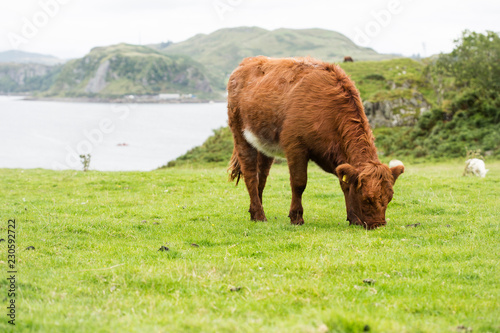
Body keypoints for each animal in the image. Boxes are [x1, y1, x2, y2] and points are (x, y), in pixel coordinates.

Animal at [226, 56, 402, 228]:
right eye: (367, 198)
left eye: (389, 198)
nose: (379, 225)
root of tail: (245, 63)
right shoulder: (295, 146)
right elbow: (299, 183)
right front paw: (296, 218)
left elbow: (345, 184)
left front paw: (353, 218)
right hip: (240, 134)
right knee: (250, 175)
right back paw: (259, 215)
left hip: (264, 144)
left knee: (261, 177)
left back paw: (255, 214)